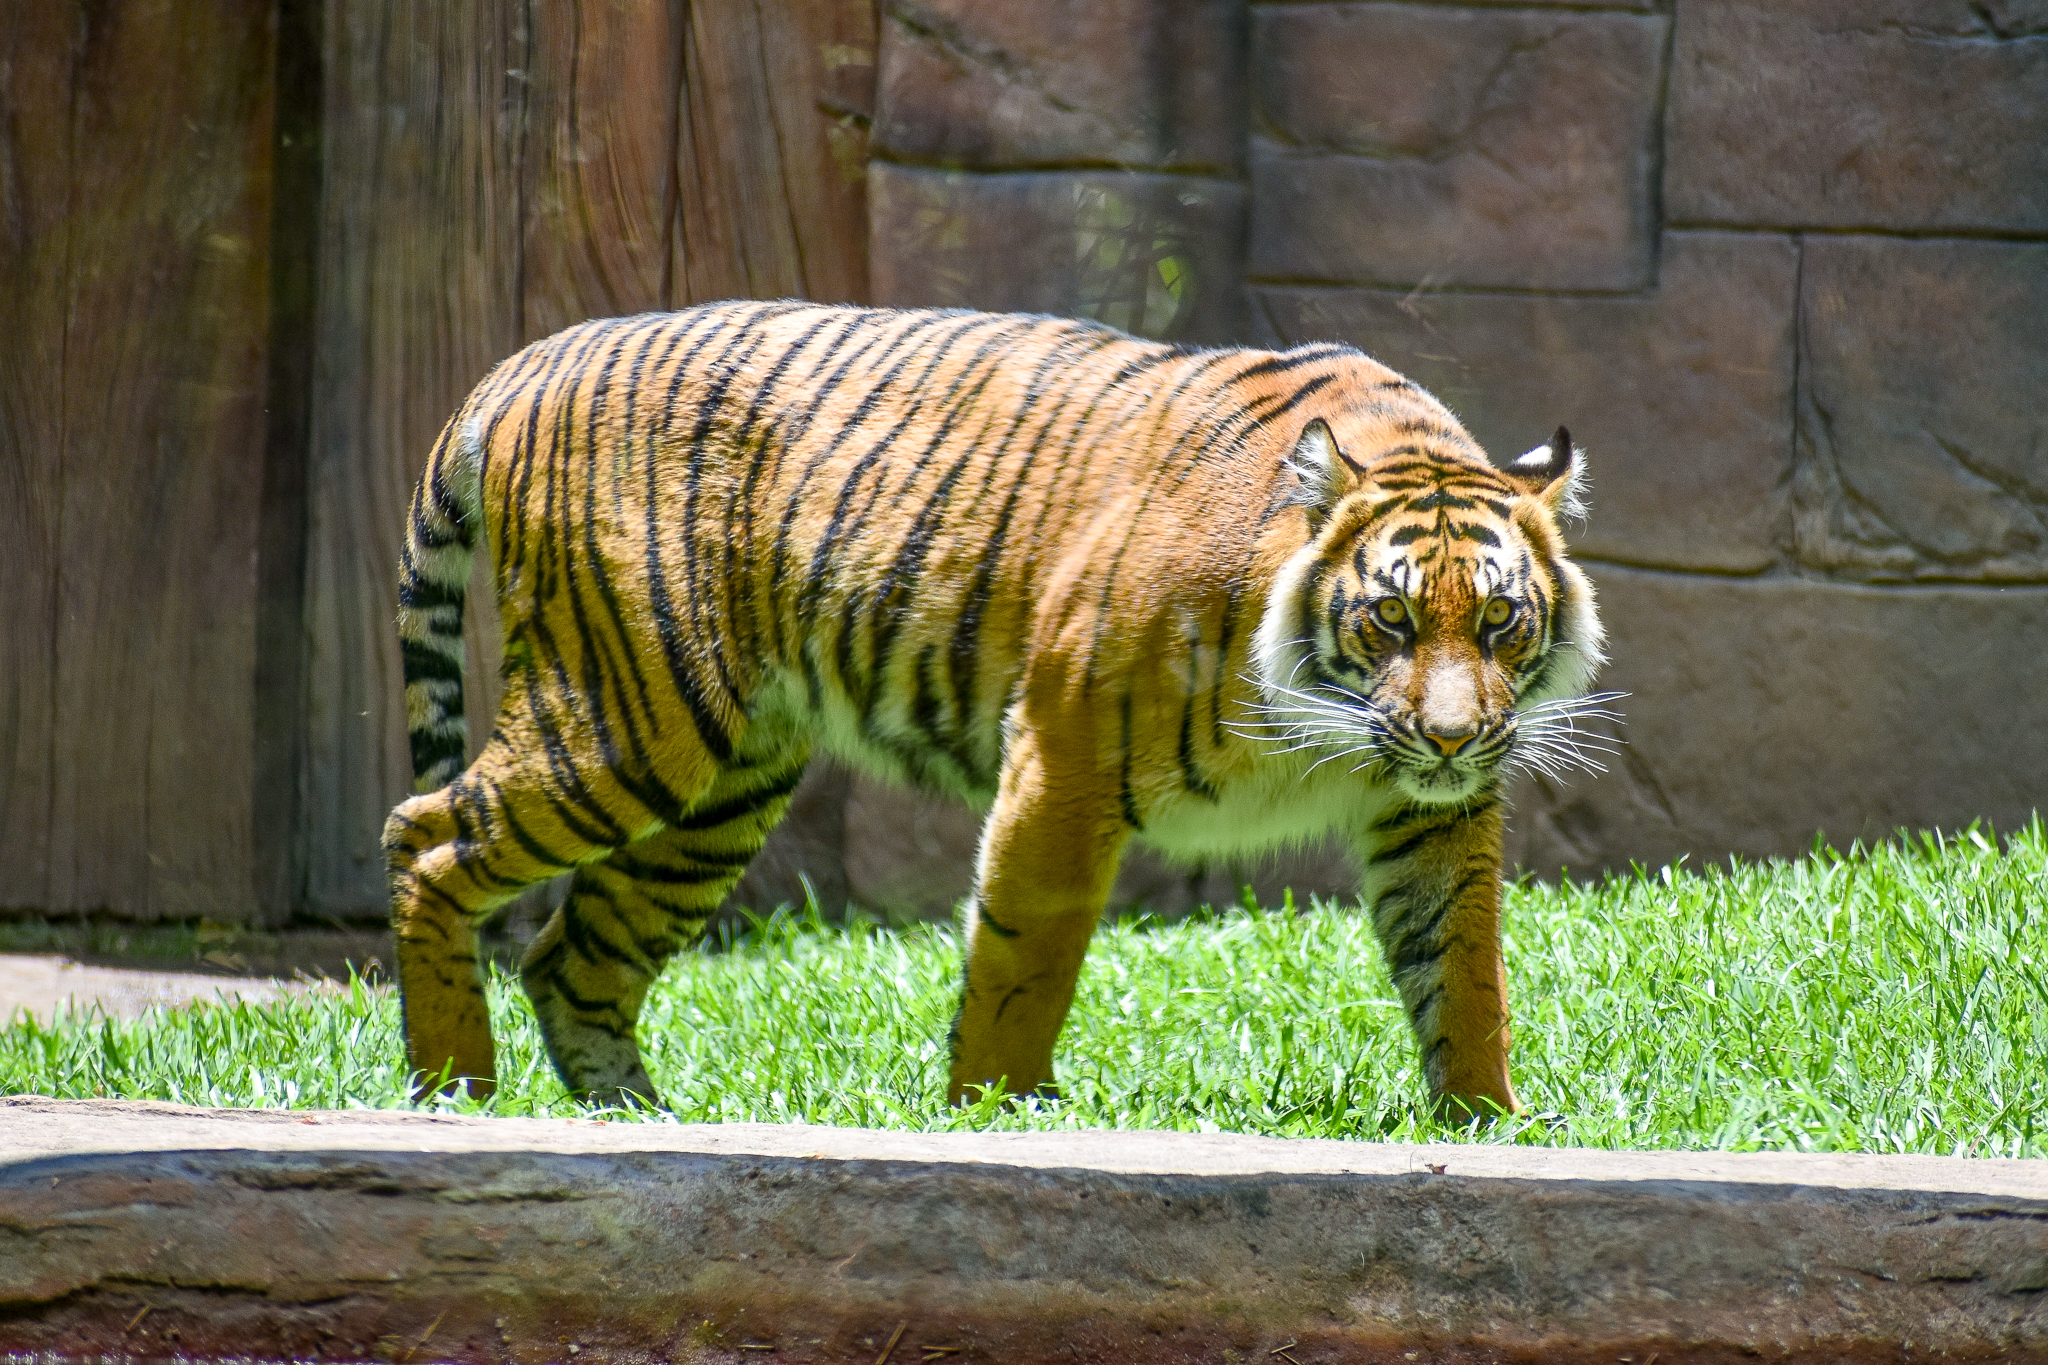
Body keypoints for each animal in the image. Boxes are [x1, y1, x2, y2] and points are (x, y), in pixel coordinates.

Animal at [385, 299, 1608, 1119]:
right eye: (1390, 619)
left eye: (1498, 621)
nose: (1451, 737)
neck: (1325, 730)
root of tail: (531, 358)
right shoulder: (1065, 753)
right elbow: (1026, 953)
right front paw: (994, 1108)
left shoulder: (1430, 816)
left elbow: (1462, 966)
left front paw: (1485, 1120)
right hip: (624, 716)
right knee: (425, 838)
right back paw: (456, 1086)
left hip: (718, 788)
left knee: (574, 957)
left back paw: (638, 1116)